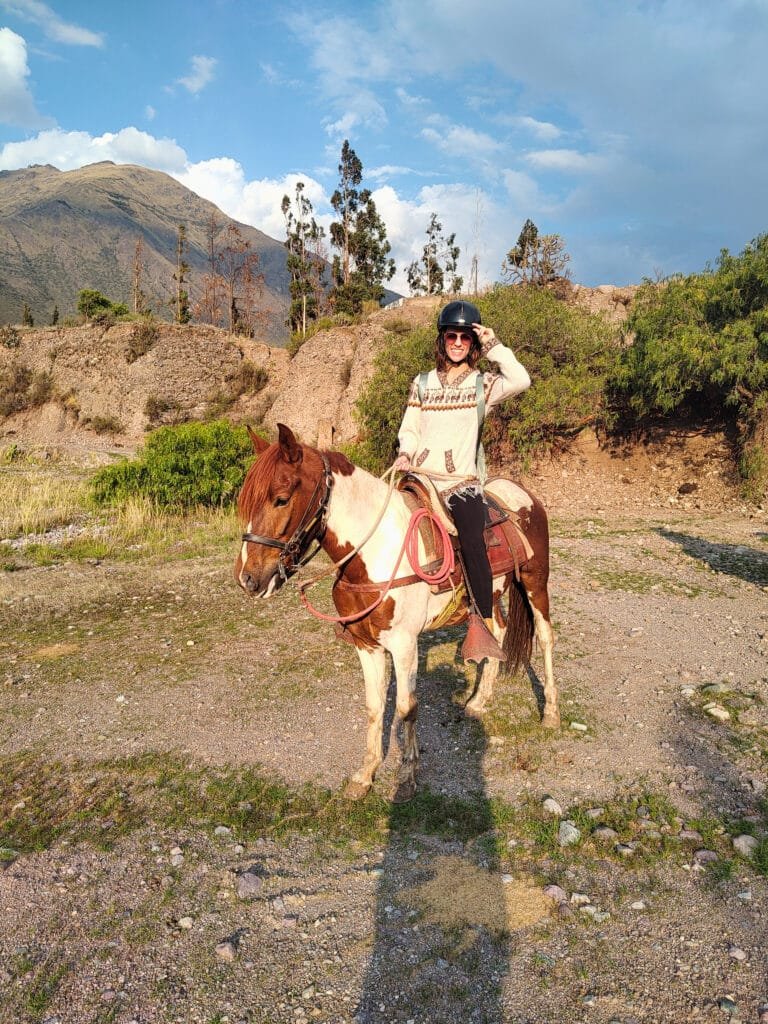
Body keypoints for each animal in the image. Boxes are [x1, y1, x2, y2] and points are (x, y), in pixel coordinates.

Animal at [234, 421, 561, 798]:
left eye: (281, 499)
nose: (248, 578)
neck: (373, 553)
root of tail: (521, 492)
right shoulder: (366, 645)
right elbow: (375, 705)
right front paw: (366, 774)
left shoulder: (405, 644)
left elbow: (407, 707)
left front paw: (407, 776)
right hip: (491, 595)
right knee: (499, 631)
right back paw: (479, 701)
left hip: (536, 583)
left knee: (545, 637)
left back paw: (551, 713)